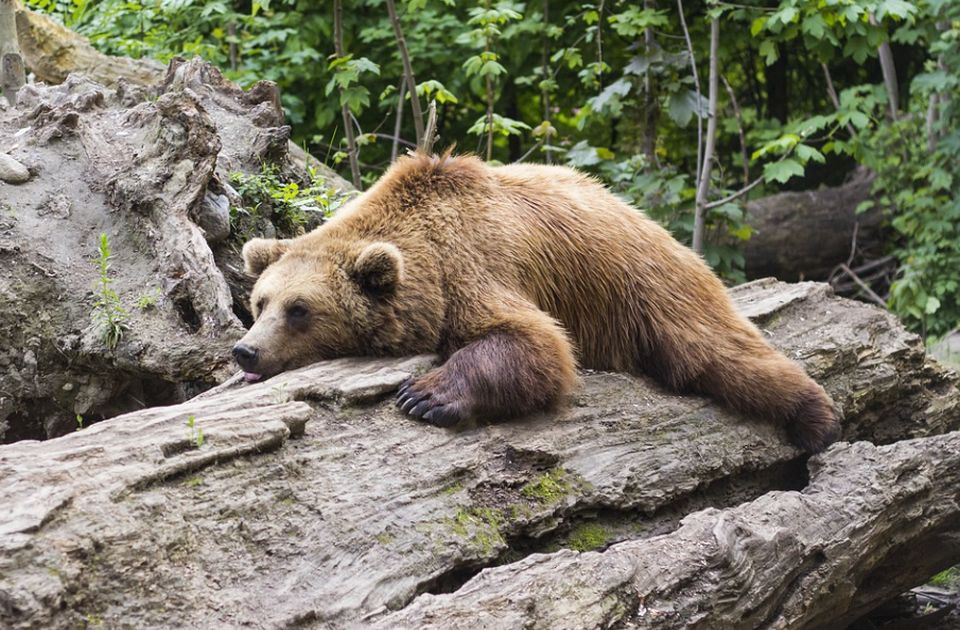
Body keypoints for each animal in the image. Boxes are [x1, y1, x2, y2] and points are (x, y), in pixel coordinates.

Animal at [238, 152, 840, 454]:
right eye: (260, 302)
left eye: (299, 309)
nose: (247, 351)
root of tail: (648, 220)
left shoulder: (474, 267)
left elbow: (536, 343)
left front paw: (425, 396)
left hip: (647, 287)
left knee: (716, 352)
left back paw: (818, 418)